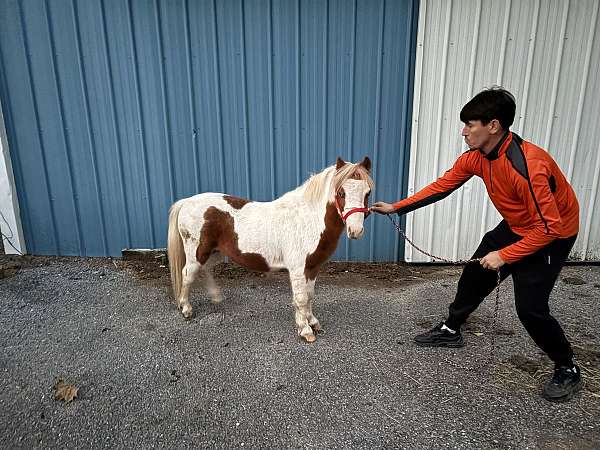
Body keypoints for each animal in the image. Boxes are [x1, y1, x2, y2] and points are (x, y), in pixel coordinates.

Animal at [166, 156, 372, 342]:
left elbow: (310, 295)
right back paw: (186, 309)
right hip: (197, 253)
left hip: (214, 252)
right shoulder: (298, 269)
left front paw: (313, 322)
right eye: (341, 193)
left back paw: (216, 297)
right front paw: (305, 330)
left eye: (368, 193)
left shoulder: (313, 267)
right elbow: (301, 298)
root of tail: (186, 202)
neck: (308, 219)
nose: (356, 231)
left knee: (205, 269)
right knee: (188, 274)